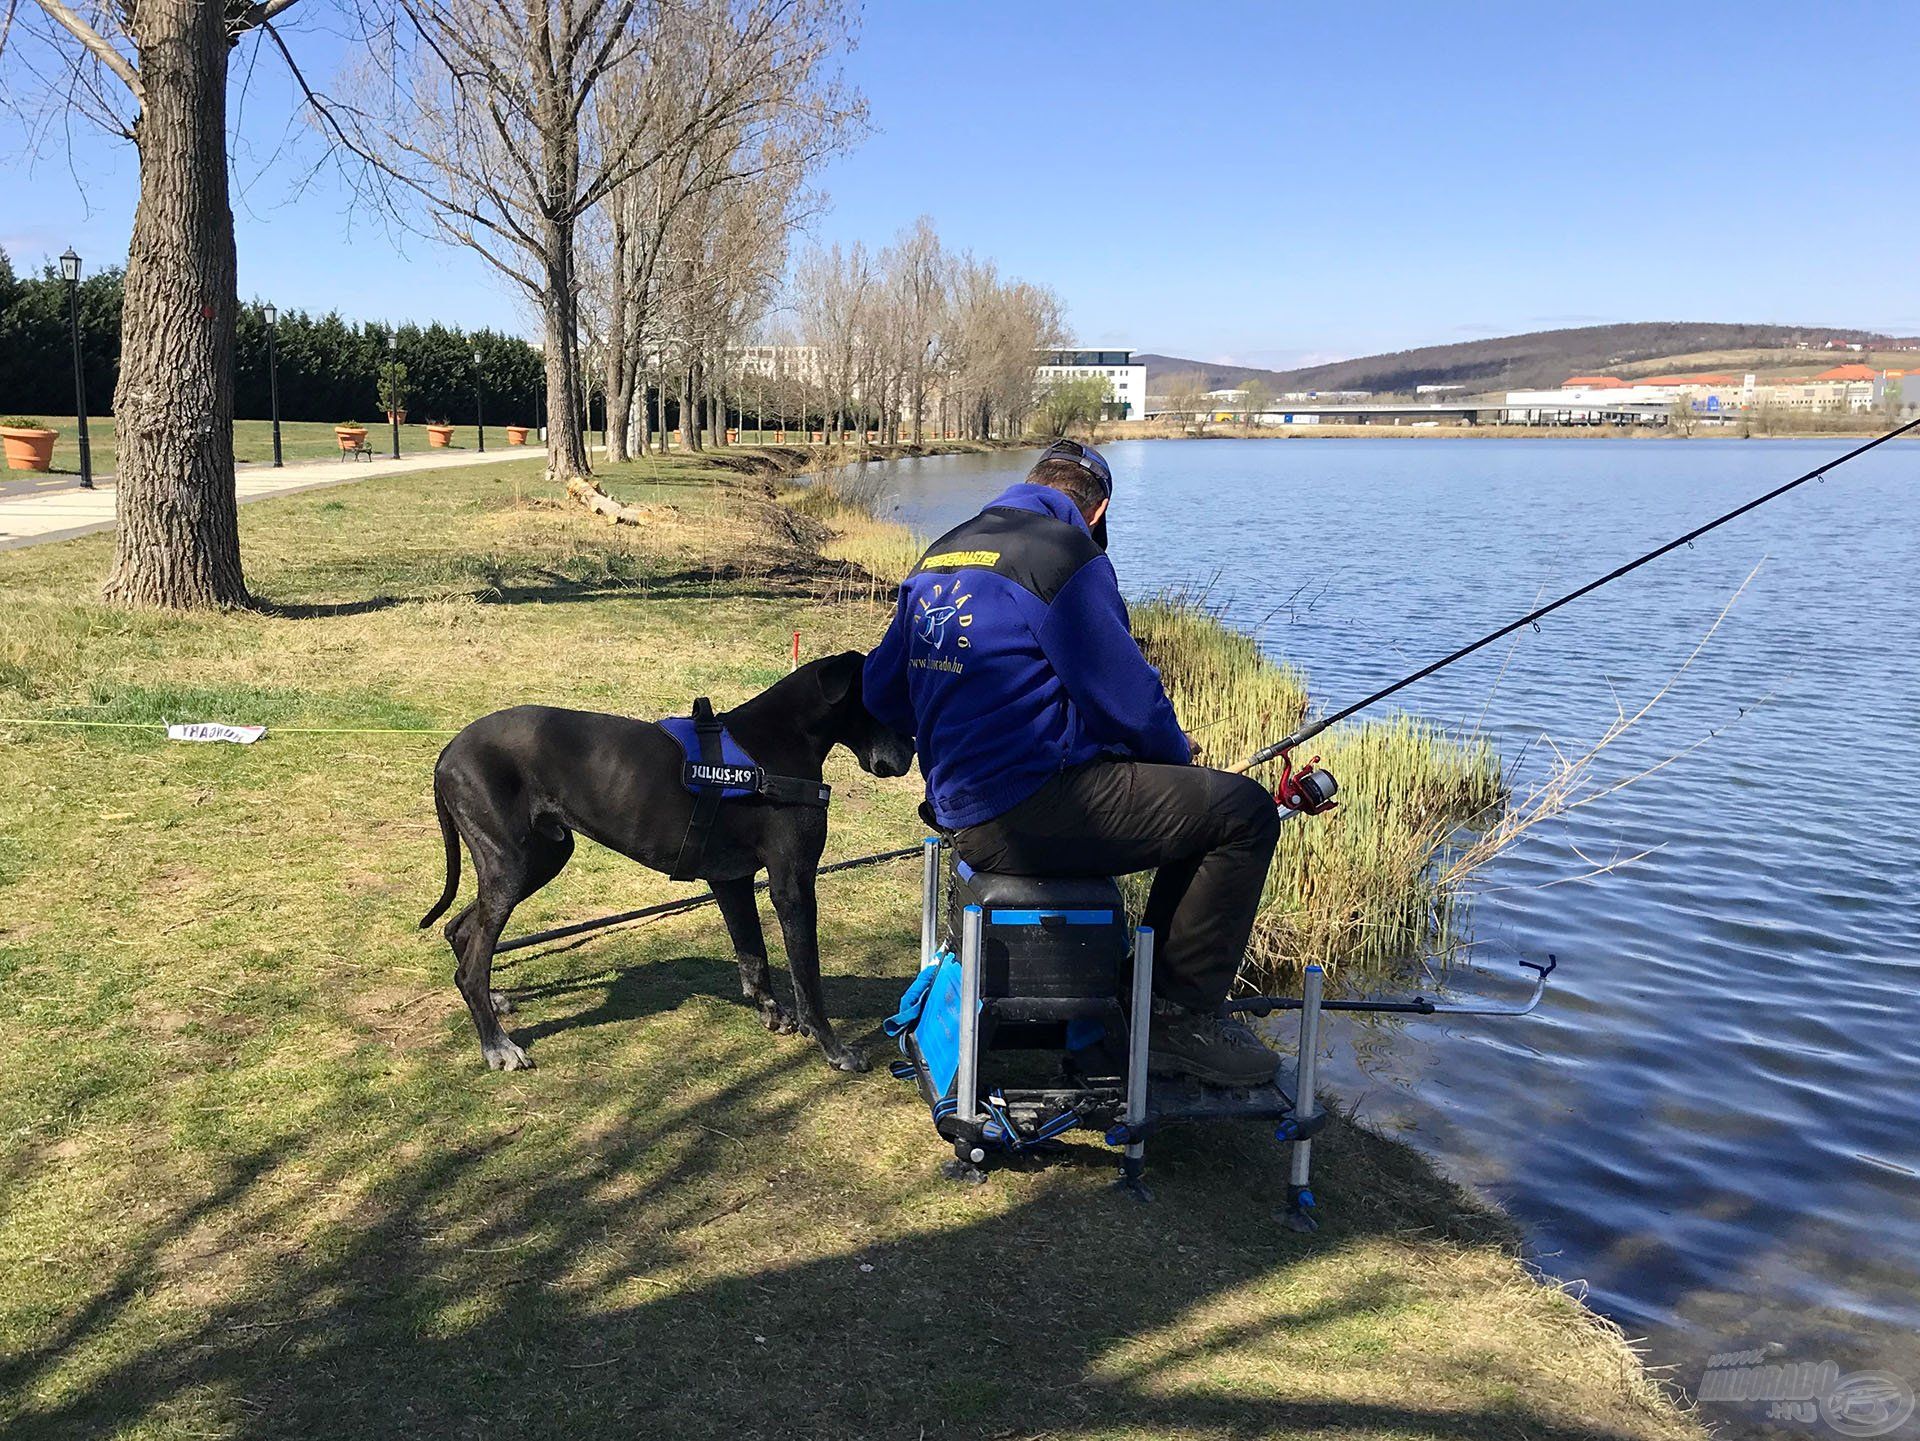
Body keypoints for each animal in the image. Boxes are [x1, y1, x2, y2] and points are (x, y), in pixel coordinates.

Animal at [424, 652, 917, 1074]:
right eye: (888, 701)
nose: (912, 753)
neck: (785, 736)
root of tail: (447, 752)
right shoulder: (792, 880)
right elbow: (807, 977)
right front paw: (836, 1049)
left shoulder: (733, 880)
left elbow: (753, 955)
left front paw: (772, 1012)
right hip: (513, 863)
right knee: (471, 966)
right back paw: (498, 1045)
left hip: (540, 857)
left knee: (461, 930)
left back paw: (494, 1001)